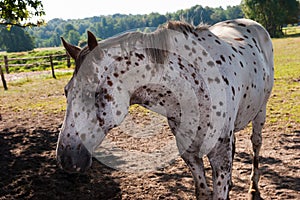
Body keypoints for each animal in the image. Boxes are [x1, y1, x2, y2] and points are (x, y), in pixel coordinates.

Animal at [56, 18, 274, 198]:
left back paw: (253, 187)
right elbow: (203, 192)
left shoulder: (219, 158)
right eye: (66, 91)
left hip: (260, 113)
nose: (66, 158)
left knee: (256, 143)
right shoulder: (190, 156)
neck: (194, 85)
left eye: (95, 93)